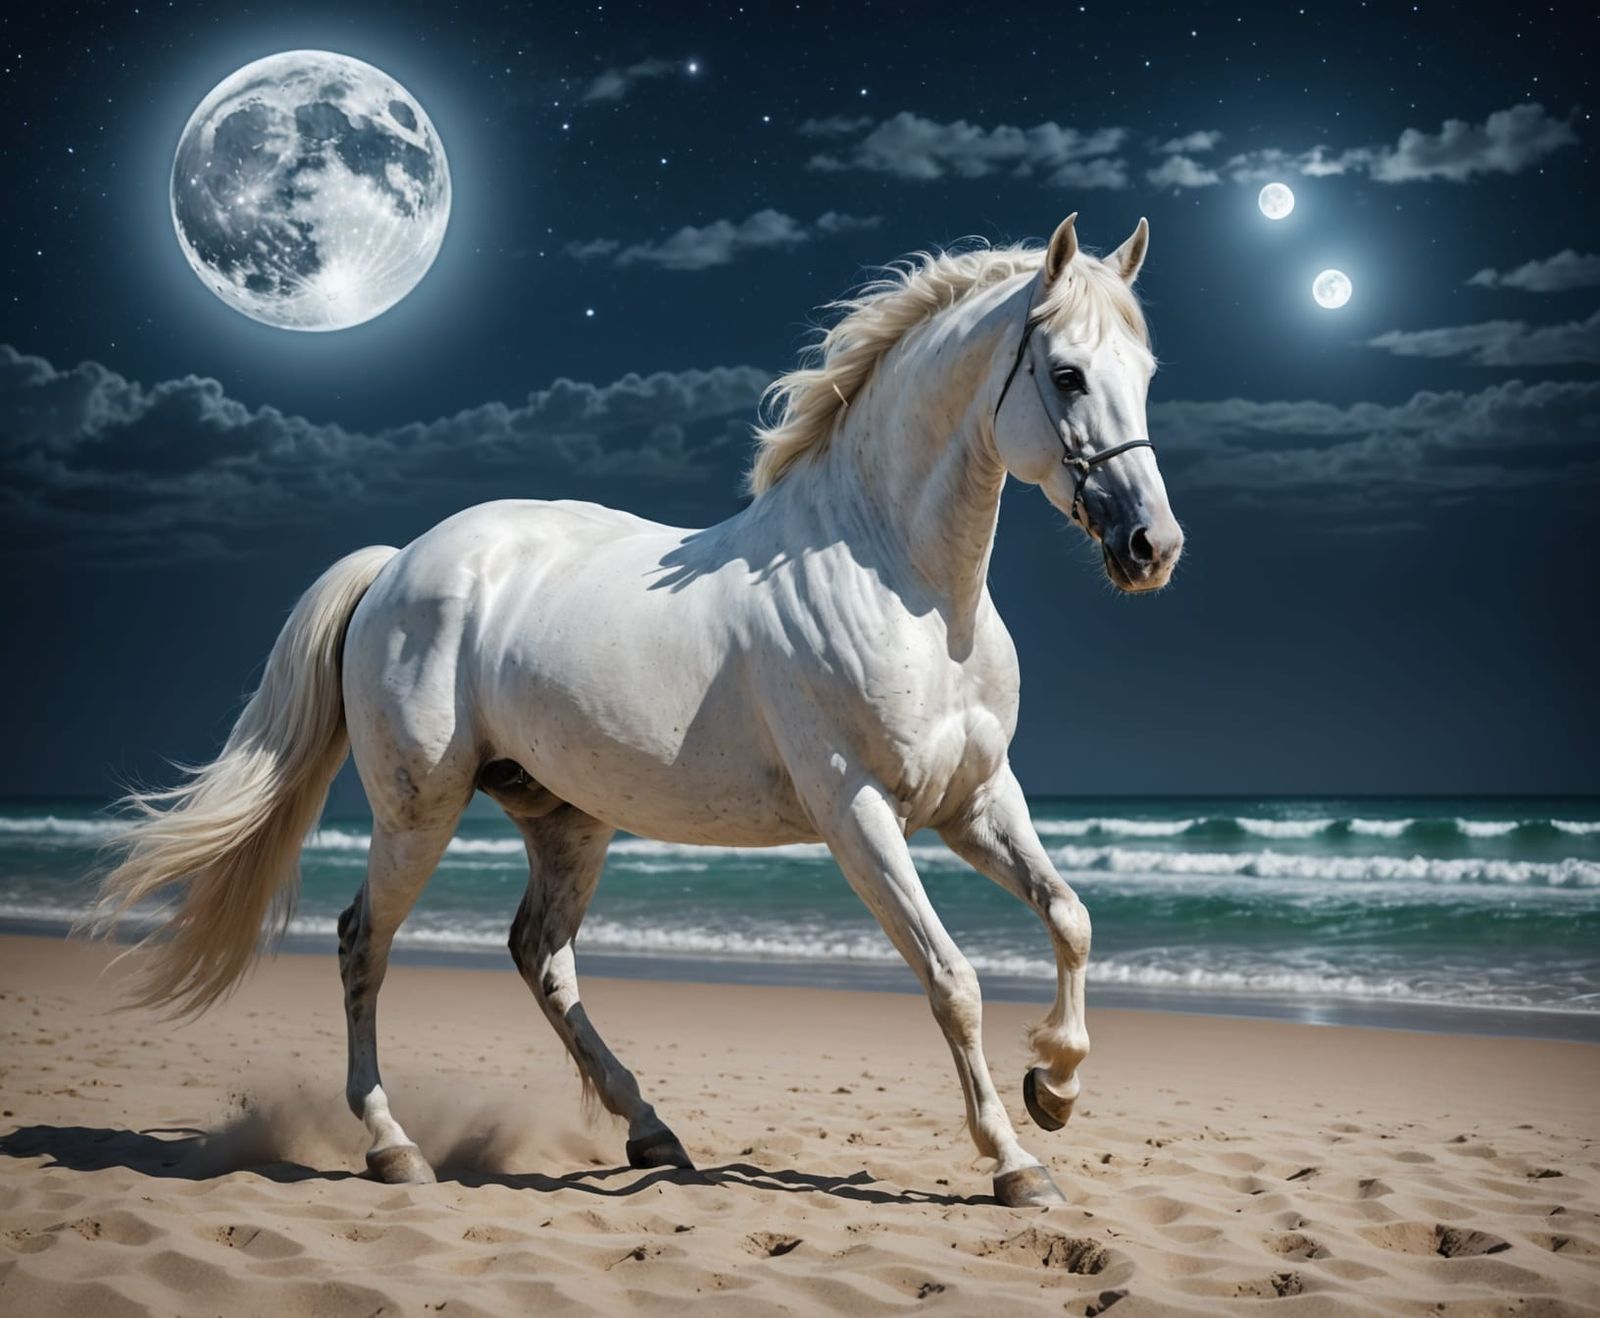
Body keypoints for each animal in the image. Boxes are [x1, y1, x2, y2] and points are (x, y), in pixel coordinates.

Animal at [95, 212, 1183, 1207]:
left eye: (1144, 371)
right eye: (1068, 375)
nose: (1151, 546)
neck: (901, 584)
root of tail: (398, 563)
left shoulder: (977, 801)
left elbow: (1071, 917)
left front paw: (1055, 1087)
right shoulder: (859, 813)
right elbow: (952, 981)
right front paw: (1016, 1162)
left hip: (566, 819)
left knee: (539, 956)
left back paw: (651, 1132)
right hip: (418, 811)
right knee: (365, 941)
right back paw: (394, 1147)